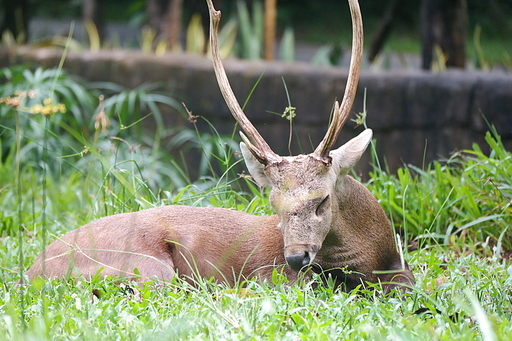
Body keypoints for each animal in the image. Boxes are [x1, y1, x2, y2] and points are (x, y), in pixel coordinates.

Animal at [25, 0, 416, 292]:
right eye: (273, 203)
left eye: (322, 199)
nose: (295, 258)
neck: (377, 262)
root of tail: (29, 275)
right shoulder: (276, 279)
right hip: (147, 267)